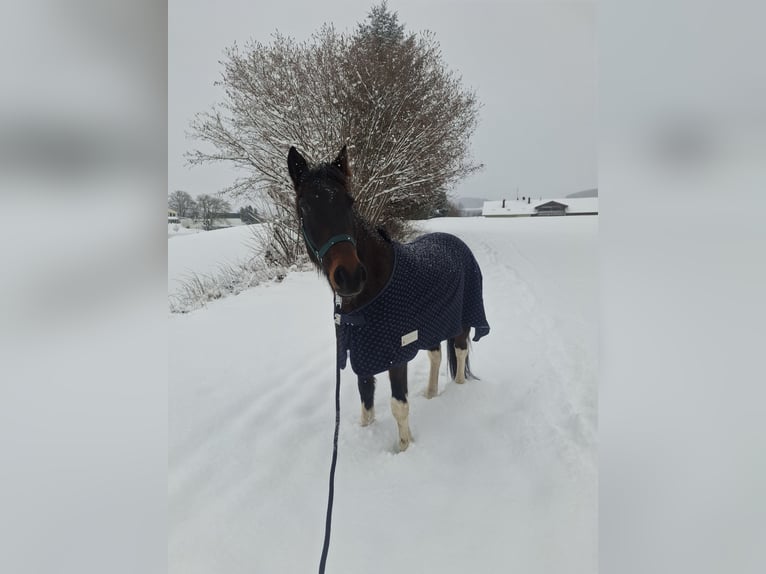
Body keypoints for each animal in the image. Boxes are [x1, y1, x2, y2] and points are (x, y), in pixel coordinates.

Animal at [287, 145, 490, 451]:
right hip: (432, 325)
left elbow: (399, 405)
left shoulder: (396, 354)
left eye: (350, 202)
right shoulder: (363, 353)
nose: (350, 276)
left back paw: (458, 390)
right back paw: (431, 394)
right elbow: (366, 400)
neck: (371, 294)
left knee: (460, 352)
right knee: (435, 355)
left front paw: (404, 448)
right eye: (305, 207)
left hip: (463, 321)